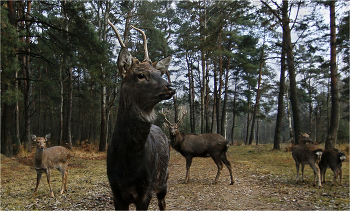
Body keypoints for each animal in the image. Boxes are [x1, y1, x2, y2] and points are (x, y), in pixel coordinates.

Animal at [105, 20, 174, 211]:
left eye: (159, 73)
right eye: (141, 75)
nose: (170, 87)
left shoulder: (146, 190)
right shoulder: (116, 191)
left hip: (164, 178)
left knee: (163, 202)